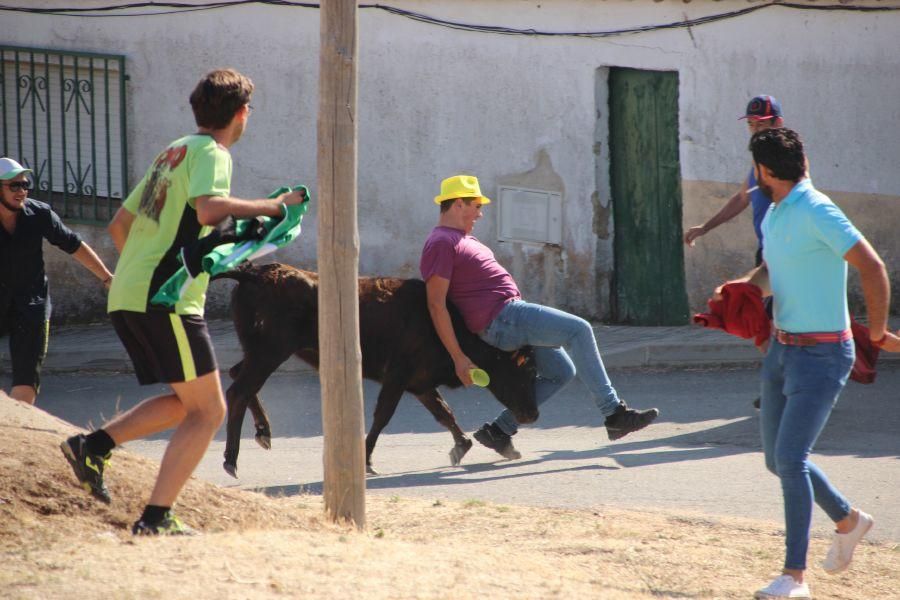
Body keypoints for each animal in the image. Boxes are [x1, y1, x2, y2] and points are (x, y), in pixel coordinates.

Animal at [214, 262, 536, 478]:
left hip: (259, 352)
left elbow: (444, 412)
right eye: (521, 371)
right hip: (270, 352)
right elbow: (383, 416)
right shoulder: (397, 377)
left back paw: (263, 432)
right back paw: (231, 459)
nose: (532, 415)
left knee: (238, 377)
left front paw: (462, 445)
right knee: (238, 390)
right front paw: (366, 460)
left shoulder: (419, 383)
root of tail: (254, 272)